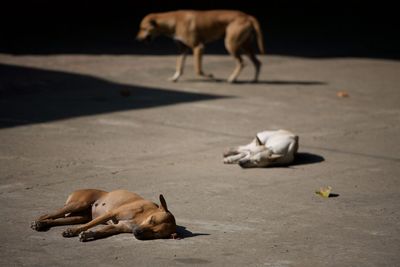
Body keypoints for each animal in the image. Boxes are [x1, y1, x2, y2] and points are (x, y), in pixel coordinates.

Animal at [30, 189, 175, 242]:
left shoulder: (117, 227)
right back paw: (38, 222)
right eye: (151, 220)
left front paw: (88, 235)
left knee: (56, 220)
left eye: (156, 234)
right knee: (47, 214)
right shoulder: (110, 213)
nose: (137, 232)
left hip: (77, 216)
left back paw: (43, 224)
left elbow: (101, 231)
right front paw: (74, 231)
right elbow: (88, 225)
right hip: (78, 204)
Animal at [138, 9, 266, 82]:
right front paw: (175, 78)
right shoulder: (182, 50)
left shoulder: (198, 47)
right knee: (257, 62)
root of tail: (247, 16)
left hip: (231, 44)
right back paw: (254, 80)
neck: (173, 21)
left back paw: (232, 79)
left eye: (143, 28)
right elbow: (179, 67)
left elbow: (198, 70)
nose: (137, 39)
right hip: (245, 46)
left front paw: (210, 76)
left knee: (242, 63)